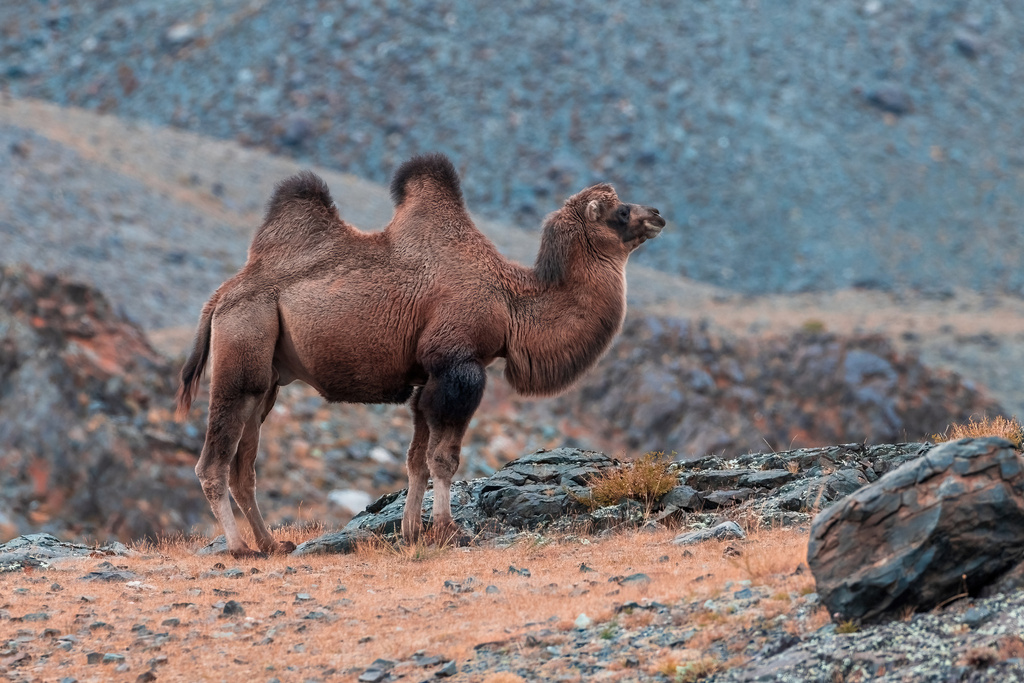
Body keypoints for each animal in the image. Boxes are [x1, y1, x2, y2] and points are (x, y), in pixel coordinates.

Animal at [176, 153, 663, 557]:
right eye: (620, 212)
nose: (657, 214)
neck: (510, 303)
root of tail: (219, 298)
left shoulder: (427, 378)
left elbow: (416, 457)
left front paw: (412, 532)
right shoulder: (459, 367)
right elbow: (443, 458)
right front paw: (448, 530)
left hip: (267, 380)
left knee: (245, 466)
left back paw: (272, 544)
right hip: (242, 348)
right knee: (213, 462)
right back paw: (239, 548)